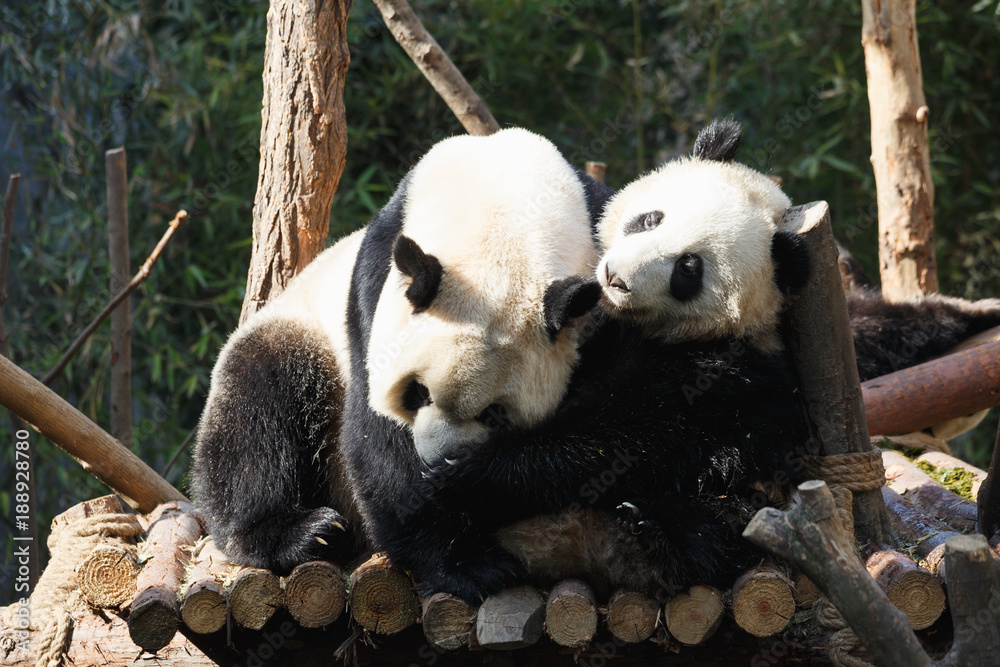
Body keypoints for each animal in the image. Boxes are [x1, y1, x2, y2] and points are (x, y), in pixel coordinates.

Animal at [193, 127, 612, 575]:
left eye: (495, 414)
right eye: (417, 392)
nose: (435, 462)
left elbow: (603, 428)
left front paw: (468, 486)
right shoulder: (373, 288)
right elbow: (378, 439)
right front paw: (468, 563)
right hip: (302, 333)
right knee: (256, 412)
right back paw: (303, 533)